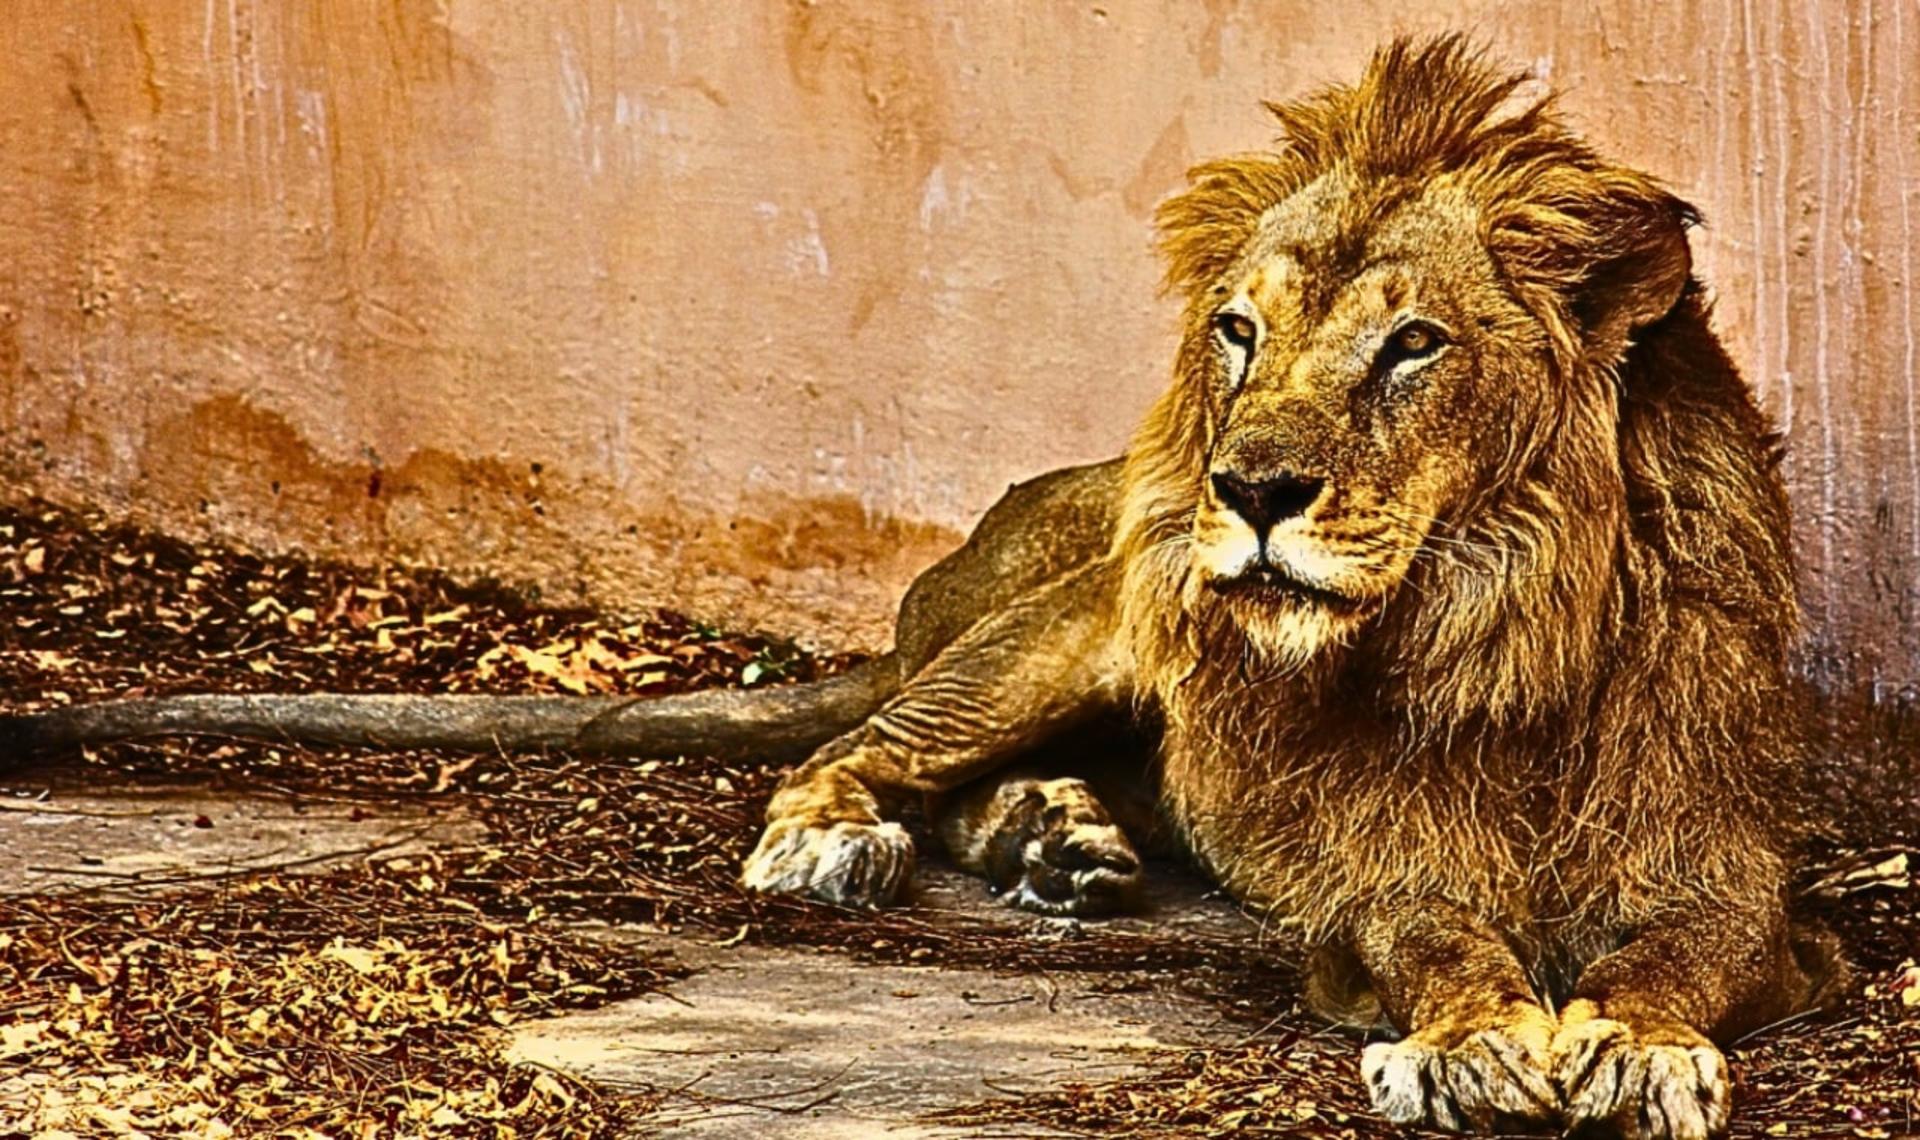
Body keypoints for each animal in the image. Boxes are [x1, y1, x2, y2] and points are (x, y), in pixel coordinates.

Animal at [3, 36, 1842, 1140]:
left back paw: (1064, 844)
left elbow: (1685, 953)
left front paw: (1628, 1044)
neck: (1489, 630)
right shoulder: (1361, 877)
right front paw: (1467, 1047)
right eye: (1240, 331)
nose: (1249, 489)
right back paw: (862, 843)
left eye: (1413, 346)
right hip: (1073, 624)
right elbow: (1436, 933)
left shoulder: (1730, 866)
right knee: (860, 751)